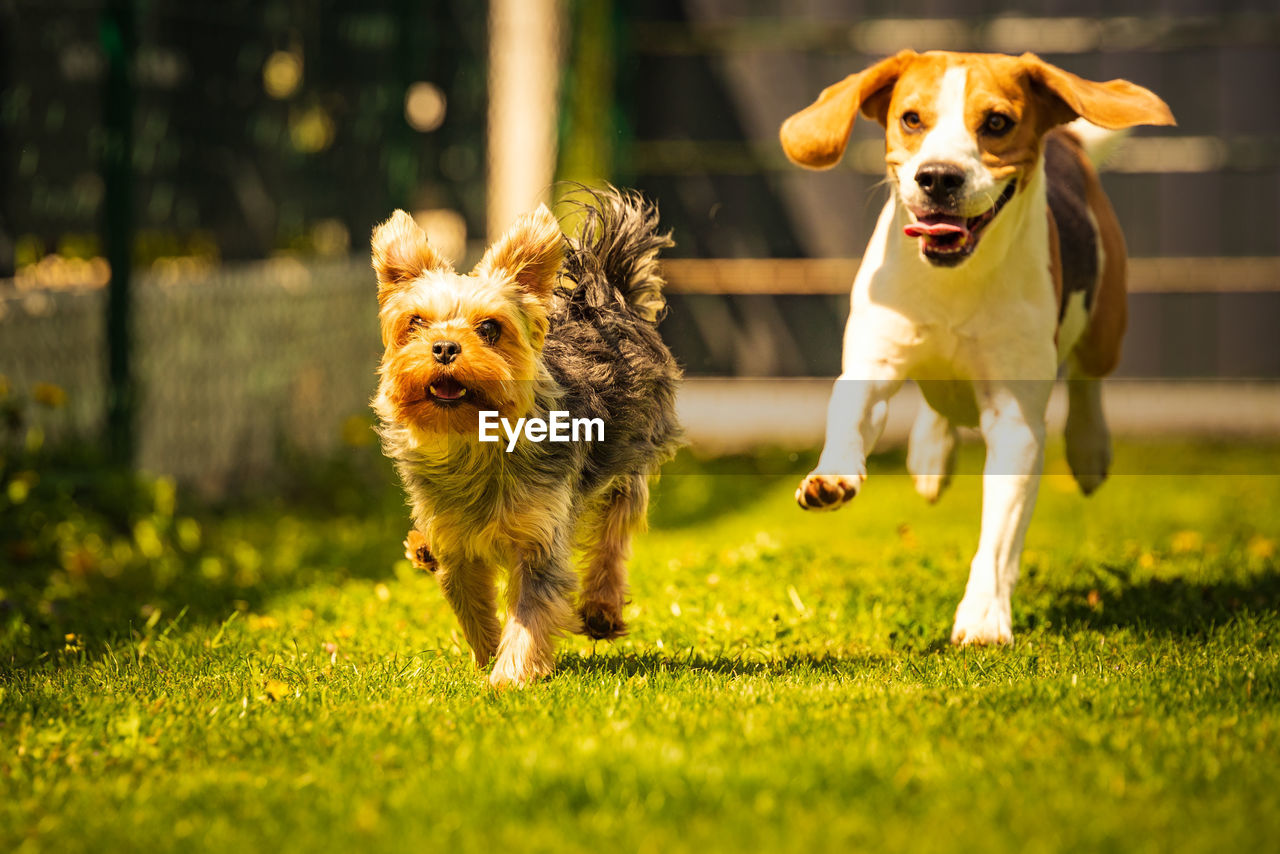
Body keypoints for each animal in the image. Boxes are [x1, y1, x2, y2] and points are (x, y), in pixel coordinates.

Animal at [778, 50, 1172, 645]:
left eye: (997, 123)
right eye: (911, 119)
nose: (939, 177)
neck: (953, 279)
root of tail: (1066, 142)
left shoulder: (1015, 422)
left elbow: (997, 537)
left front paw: (984, 616)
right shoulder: (872, 365)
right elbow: (848, 416)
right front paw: (832, 476)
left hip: (1106, 322)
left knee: (1088, 380)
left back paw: (1088, 449)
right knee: (940, 404)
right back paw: (930, 453)